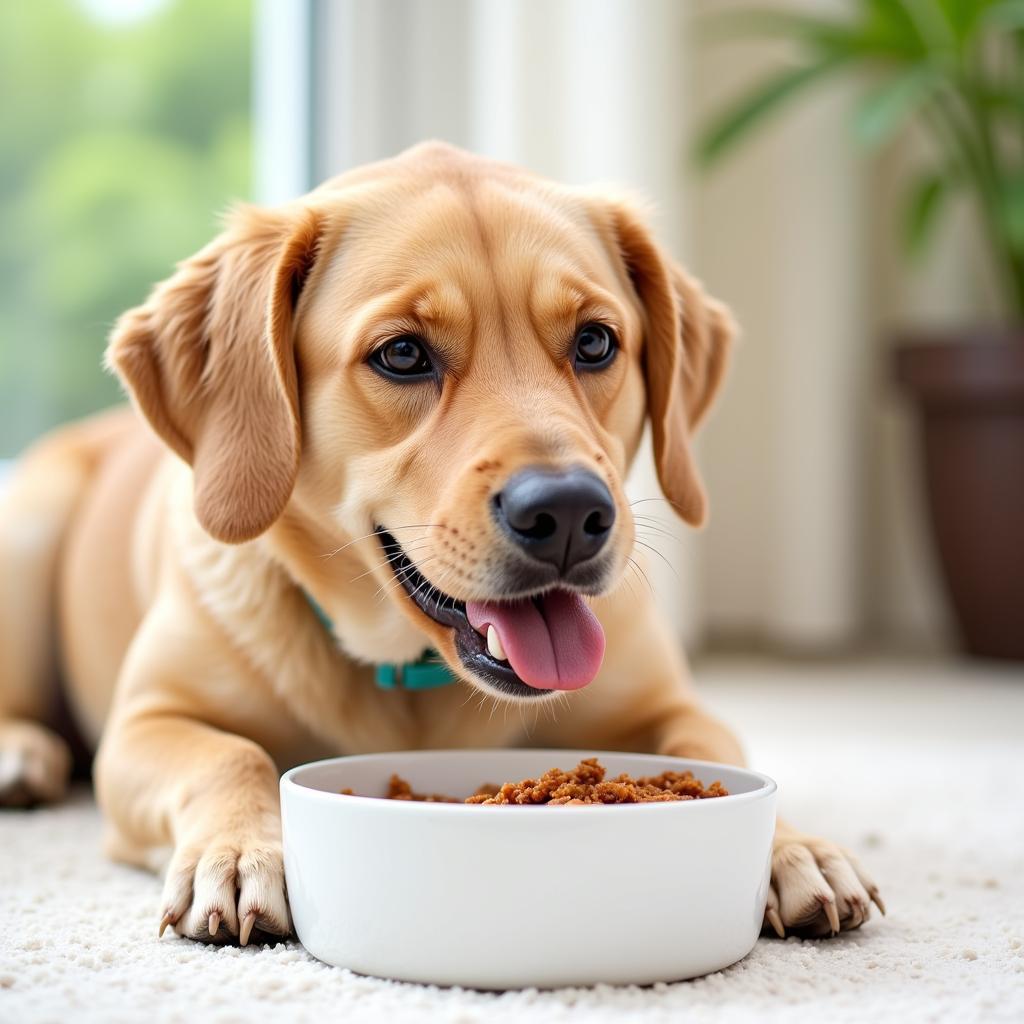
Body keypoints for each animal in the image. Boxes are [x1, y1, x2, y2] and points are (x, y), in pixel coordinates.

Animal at [0, 142, 880, 942]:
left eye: (596, 342)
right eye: (402, 354)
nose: (568, 512)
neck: (411, 675)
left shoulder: (669, 706)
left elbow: (719, 754)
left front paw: (792, 846)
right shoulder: (146, 723)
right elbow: (233, 756)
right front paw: (245, 850)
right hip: (30, 527)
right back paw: (22, 755)